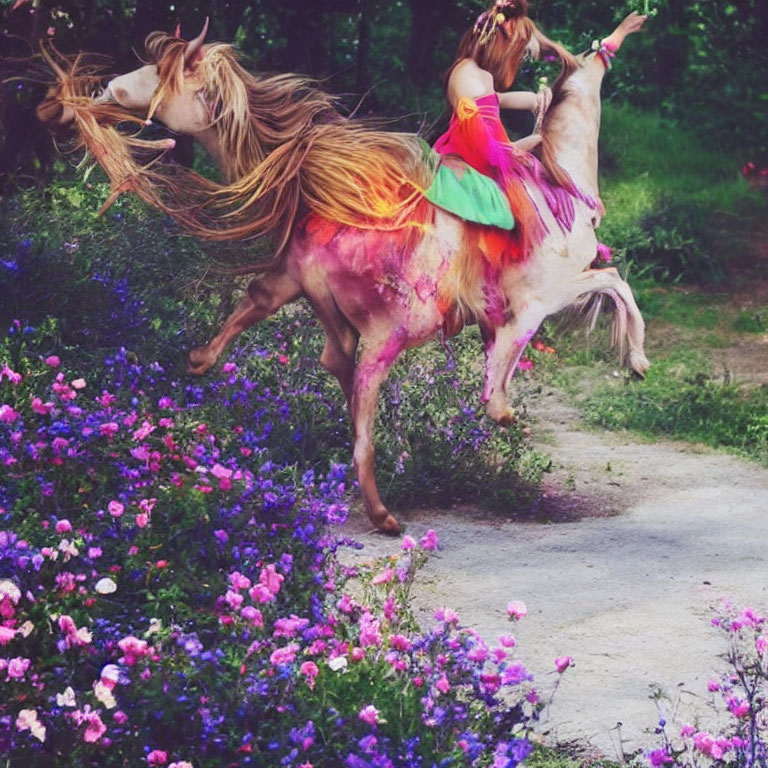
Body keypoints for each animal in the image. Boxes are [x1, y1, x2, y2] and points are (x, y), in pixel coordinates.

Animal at [36, 16, 648, 536]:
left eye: (157, 72)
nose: (101, 91)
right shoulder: (539, 296)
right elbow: (606, 287)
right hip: (395, 331)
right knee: (363, 413)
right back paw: (389, 507)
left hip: (341, 307)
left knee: (318, 361)